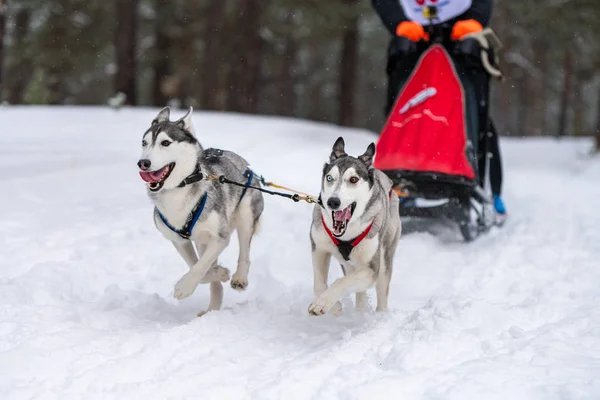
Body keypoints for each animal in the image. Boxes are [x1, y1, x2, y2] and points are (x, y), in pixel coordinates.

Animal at [141, 105, 264, 316]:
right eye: (144, 143)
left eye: (165, 143)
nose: (143, 163)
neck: (178, 190)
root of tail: (244, 163)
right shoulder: (179, 241)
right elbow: (198, 266)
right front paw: (219, 273)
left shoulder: (220, 237)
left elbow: (200, 267)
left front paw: (184, 287)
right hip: (202, 240)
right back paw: (213, 307)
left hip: (246, 215)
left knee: (245, 253)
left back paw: (239, 277)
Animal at [308, 138, 400, 316]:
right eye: (329, 178)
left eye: (353, 179)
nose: (332, 202)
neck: (345, 234)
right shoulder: (319, 248)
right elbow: (318, 283)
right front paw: (333, 306)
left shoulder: (371, 269)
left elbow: (341, 282)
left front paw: (325, 302)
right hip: (348, 264)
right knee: (358, 289)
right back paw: (359, 313)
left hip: (385, 256)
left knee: (381, 290)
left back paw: (380, 315)